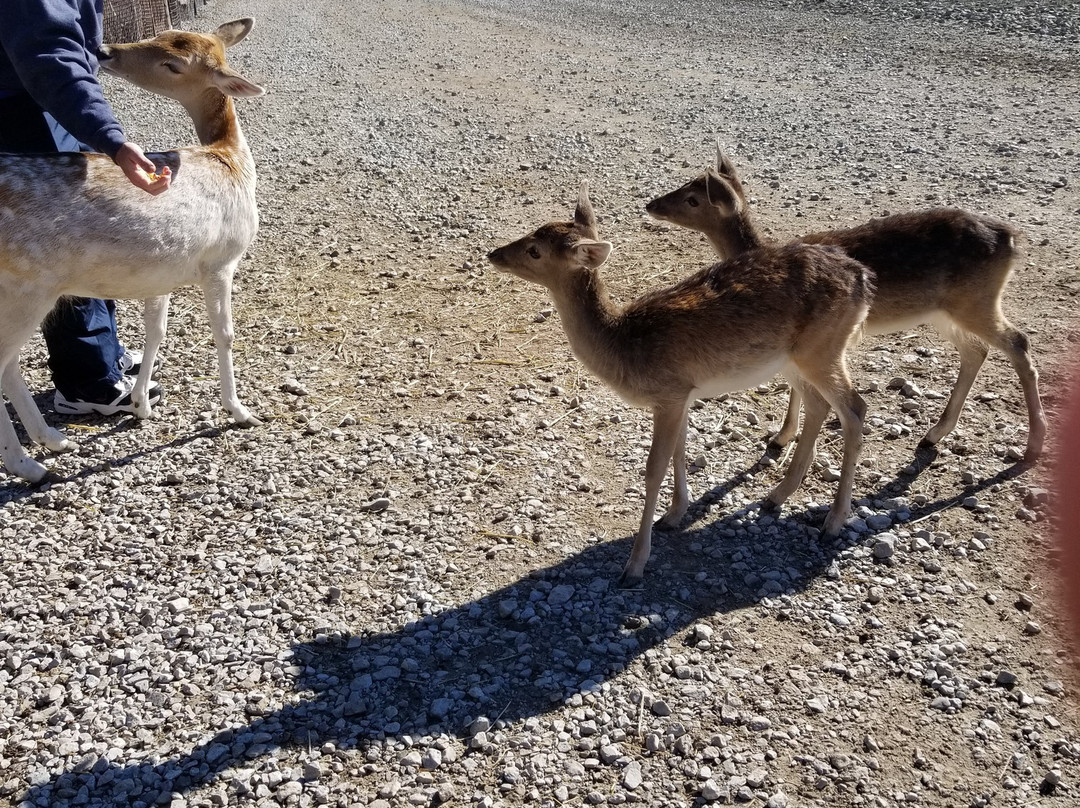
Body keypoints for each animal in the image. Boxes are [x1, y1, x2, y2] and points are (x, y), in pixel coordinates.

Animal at [488, 183, 872, 587]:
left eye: (535, 250)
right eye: (534, 231)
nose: (493, 254)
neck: (624, 345)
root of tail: (863, 279)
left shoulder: (668, 394)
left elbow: (654, 469)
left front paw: (634, 566)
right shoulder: (684, 394)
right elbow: (680, 450)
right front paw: (673, 516)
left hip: (823, 349)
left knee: (854, 408)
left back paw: (833, 521)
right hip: (795, 359)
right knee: (819, 405)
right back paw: (777, 496)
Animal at [646, 145, 1046, 462]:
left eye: (693, 199)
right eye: (686, 184)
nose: (651, 204)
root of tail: (1011, 238)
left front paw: (781, 437)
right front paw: (782, 435)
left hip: (976, 301)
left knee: (1018, 342)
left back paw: (1033, 445)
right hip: (948, 310)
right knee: (976, 350)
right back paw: (933, 435)